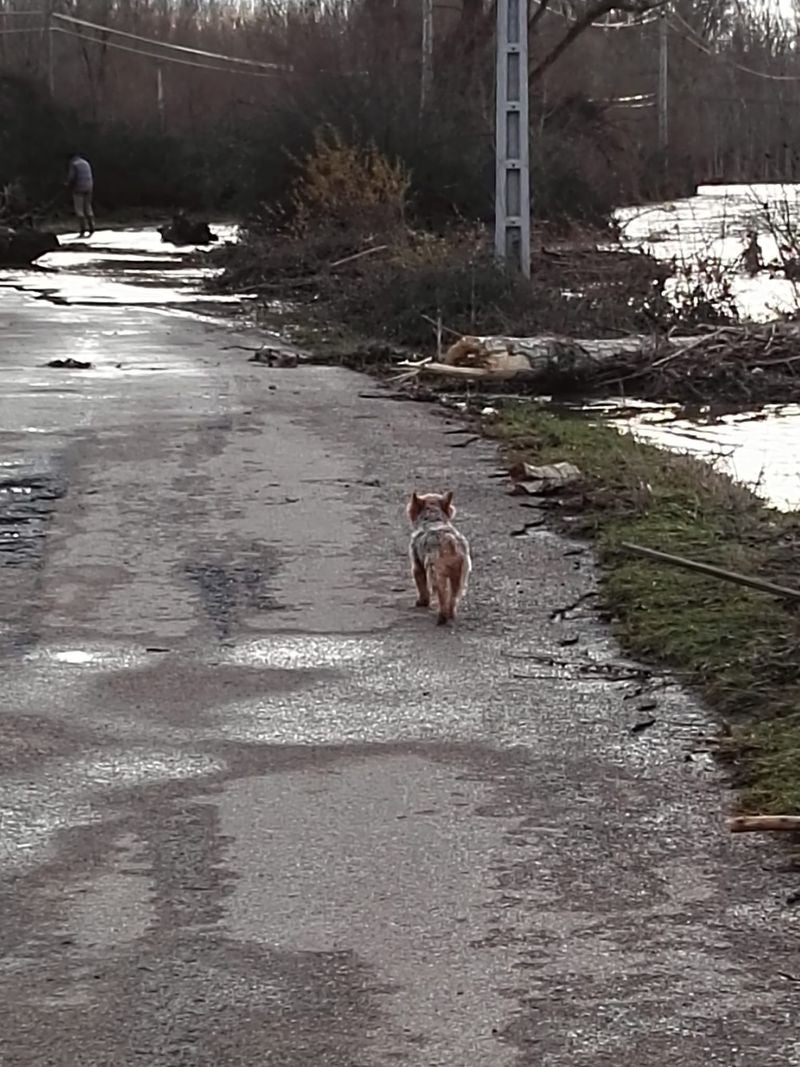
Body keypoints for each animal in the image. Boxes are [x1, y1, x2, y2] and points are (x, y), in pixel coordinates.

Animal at [407, 490, 469, 623]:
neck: (432, 519)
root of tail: (450, 541)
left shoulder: (417, 565)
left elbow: (421, 585)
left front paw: (422, 602)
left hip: (436, 572)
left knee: (442, 594)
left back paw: (442, 616)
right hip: (460, 573)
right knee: (453, 595)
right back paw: (451, 614)